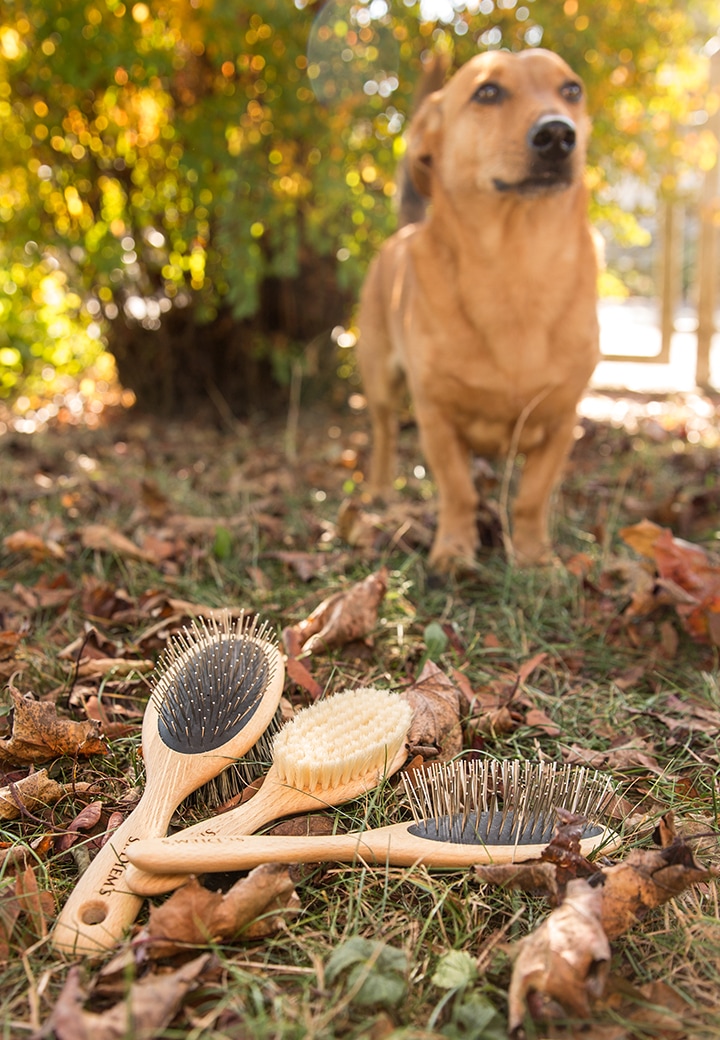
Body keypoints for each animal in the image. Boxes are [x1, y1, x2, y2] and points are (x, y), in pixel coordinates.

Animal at [357, 48, 599, 574]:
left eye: (572, 90)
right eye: (488, 92)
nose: (557, 134)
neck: (514, 266)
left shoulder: (562, 423)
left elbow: (531, 499)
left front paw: (533, 556)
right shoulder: (437, 418)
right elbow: (458, 492)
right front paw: (453, 548)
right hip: (381, 383)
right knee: (383, 435)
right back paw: (380, 490)